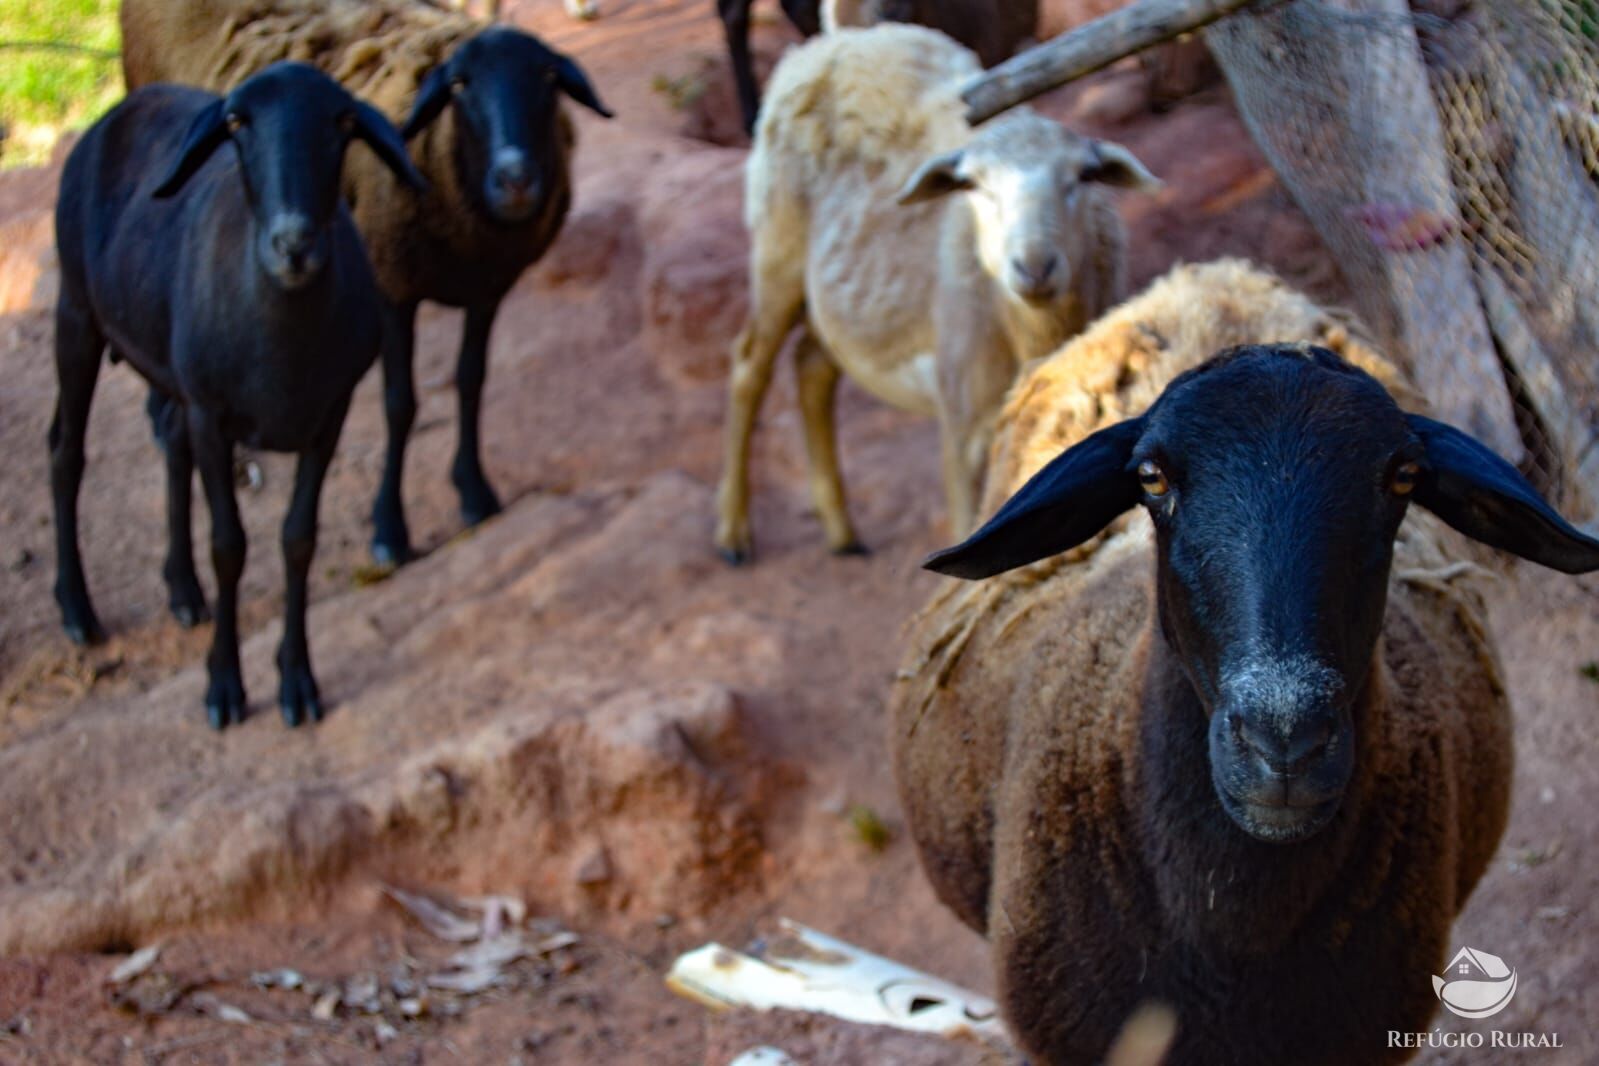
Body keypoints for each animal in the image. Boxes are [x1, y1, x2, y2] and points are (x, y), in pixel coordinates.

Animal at [719, 20, 1157, 562]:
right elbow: (967, 521)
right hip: (777, 248)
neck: (1032, 334)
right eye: (976, 187)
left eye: (1083, 176)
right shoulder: (964, 425)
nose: (1033, 267)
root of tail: (847, 36)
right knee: (750, 367)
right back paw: (733, 531)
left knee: (811, 366)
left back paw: (841, 530)